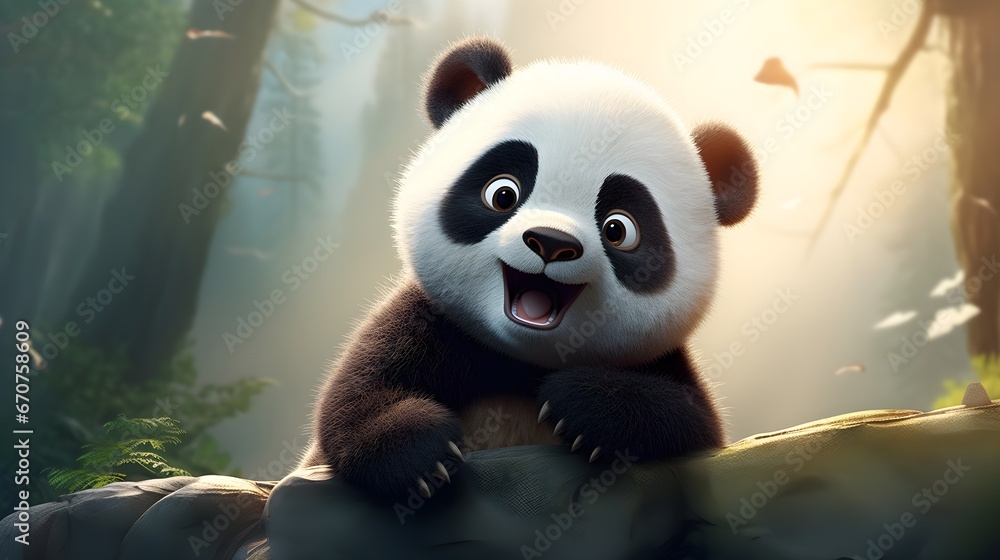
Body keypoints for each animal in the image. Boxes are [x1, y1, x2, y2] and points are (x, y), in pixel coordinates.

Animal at [301, 37, 759, 498]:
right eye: (503, 193)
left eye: (619, 229)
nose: (552, 243)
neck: (521, 359)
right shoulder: (431, 323)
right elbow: (352, 399)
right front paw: (423, 458)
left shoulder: (662, 364)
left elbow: (690, 420)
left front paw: (580, 404)